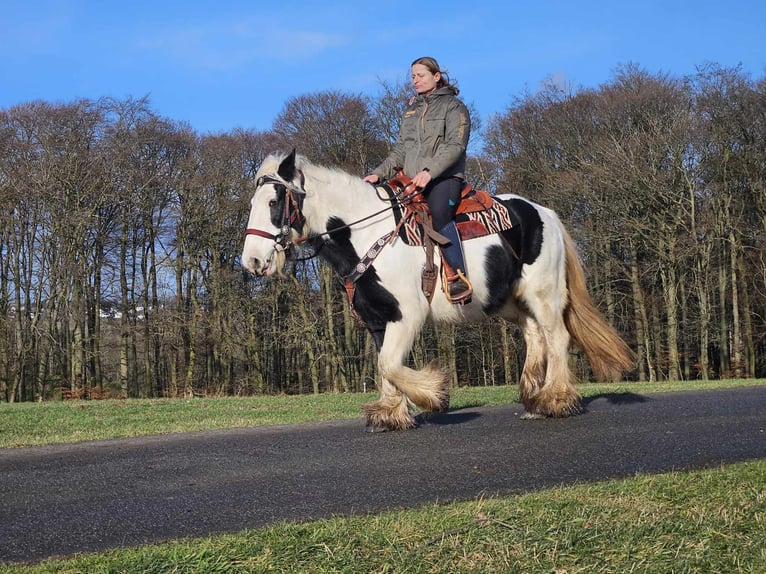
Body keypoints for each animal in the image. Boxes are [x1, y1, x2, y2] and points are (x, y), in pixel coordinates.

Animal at [242, 151, 636, 430]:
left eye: (274, 202)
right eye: (252, 204)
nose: (253, 261)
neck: (369, 235)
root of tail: (546, 214)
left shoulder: (407, 315)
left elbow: (389, 363)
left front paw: (433, 394)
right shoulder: (377, 320)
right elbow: (384, 365)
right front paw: (391, 414)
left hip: (545, 294)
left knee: (557, 337)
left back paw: (554, 400)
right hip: (510, 300)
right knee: (534, 334)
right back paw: (533, 399)